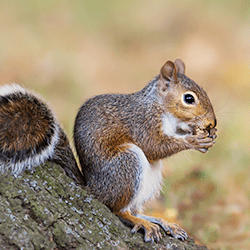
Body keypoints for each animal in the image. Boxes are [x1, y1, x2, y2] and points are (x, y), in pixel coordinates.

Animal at [73, 58, 217, 242]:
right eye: (189, 98)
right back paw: (143, 223)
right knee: (117, 209)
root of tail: (93, 188)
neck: (159, 106)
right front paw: (193, 140)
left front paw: (209, 135)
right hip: (126, 164)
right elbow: (153, 146)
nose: (212, 122)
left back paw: (163, 222)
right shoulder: (142, 122)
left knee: (135, 209)